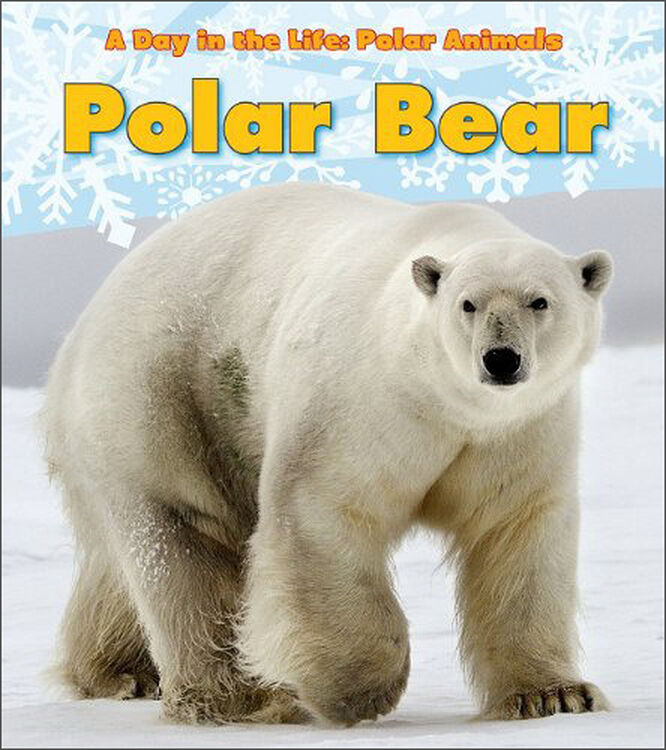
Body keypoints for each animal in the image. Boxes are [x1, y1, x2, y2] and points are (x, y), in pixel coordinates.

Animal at [42, 182, 612, 726]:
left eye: (539, 301)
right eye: (467, 304)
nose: (501, 359)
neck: (444, 402)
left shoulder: (516, 432)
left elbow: (516, 534)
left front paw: (552, 695)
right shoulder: (361, 401)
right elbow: (322, 510)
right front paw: (356, 689)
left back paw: (123, 672)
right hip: (161, 395)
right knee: (182, 539)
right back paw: (240, 698)